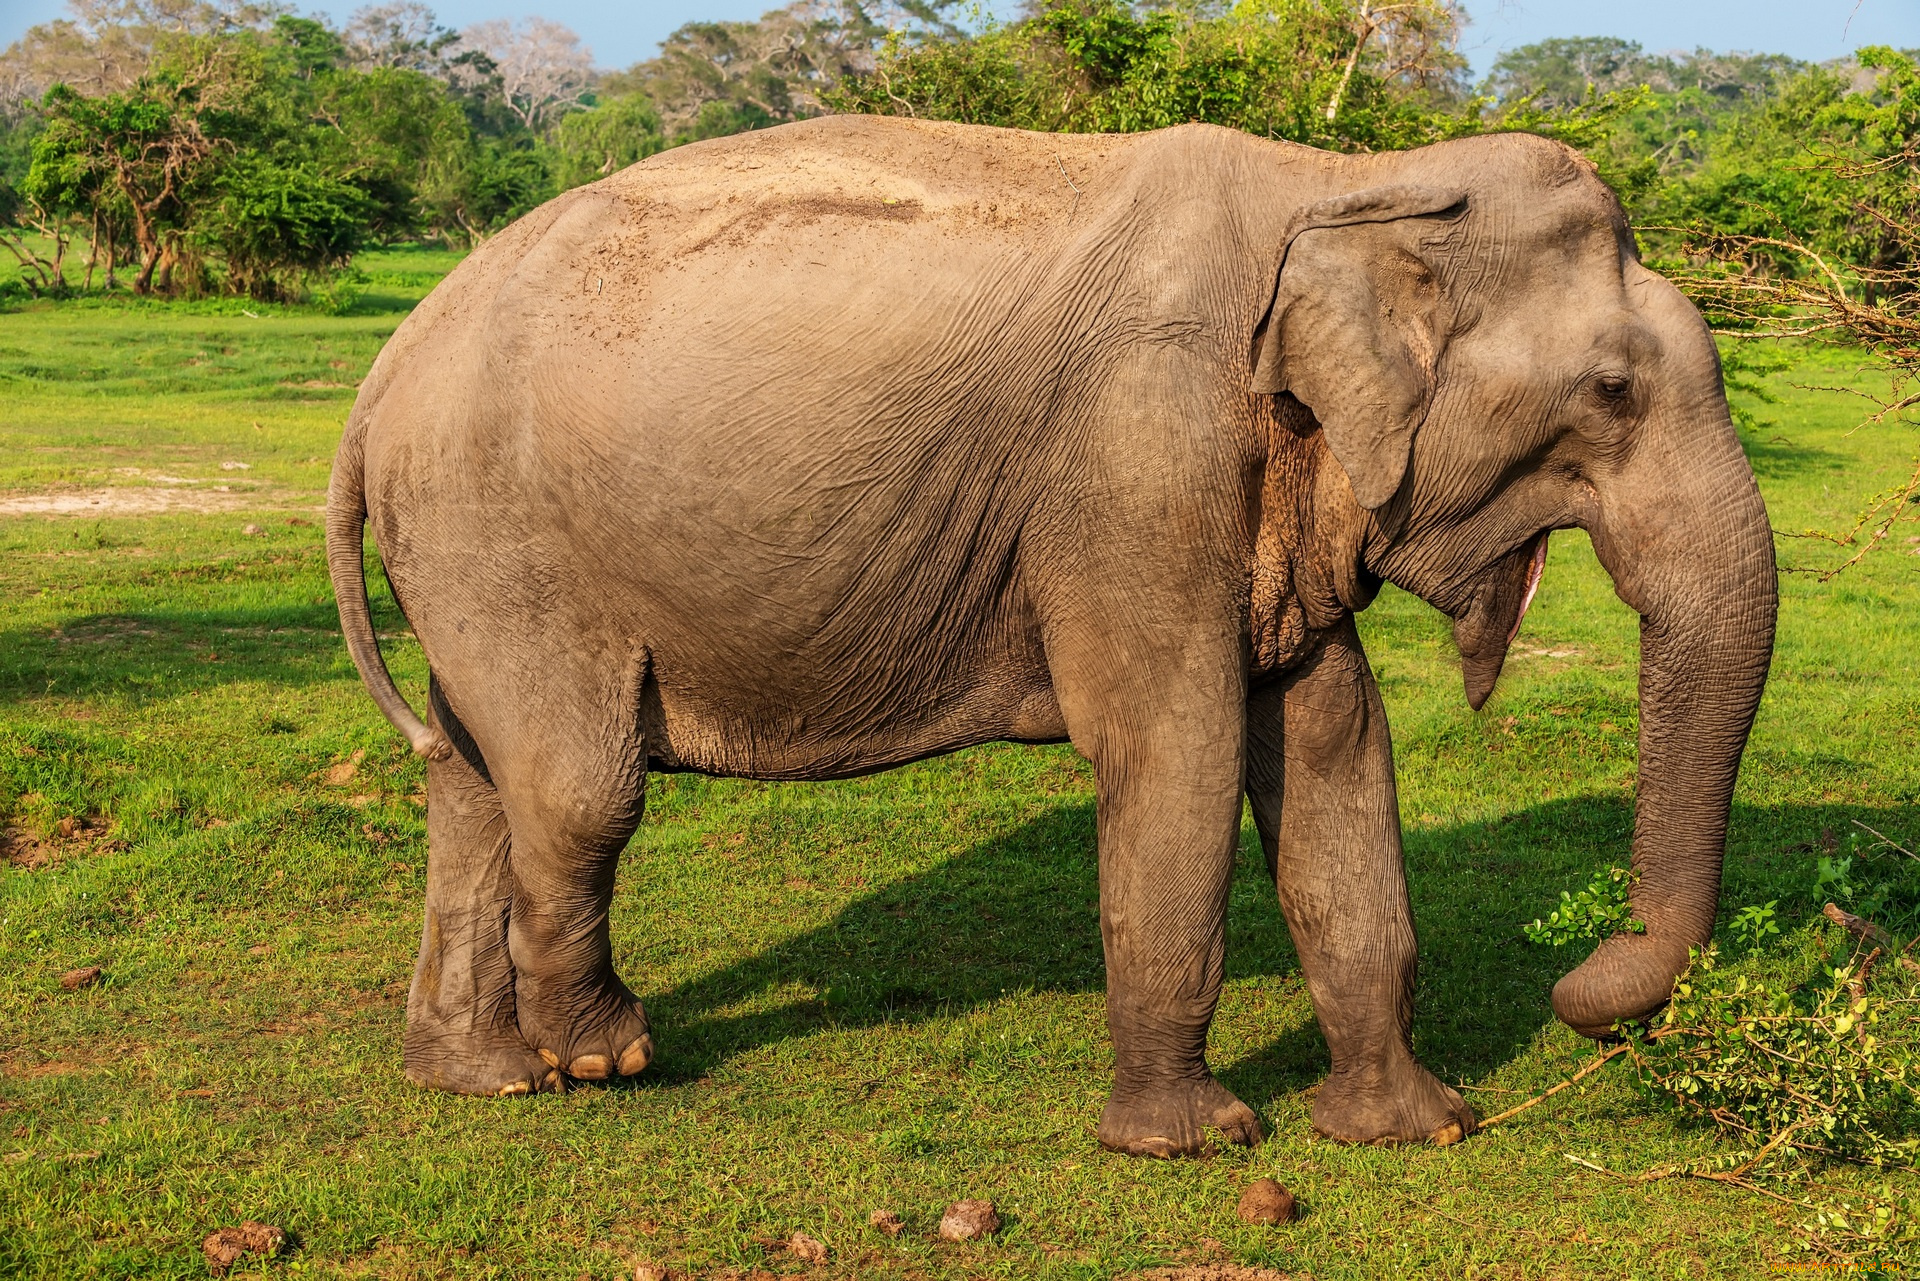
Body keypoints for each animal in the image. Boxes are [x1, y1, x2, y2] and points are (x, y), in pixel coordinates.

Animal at [326, 115, 1766, 1160]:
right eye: (1614, 390)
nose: (1576, 988)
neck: (1354, 184)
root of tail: (384, 370)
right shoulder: (1138, 455)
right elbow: (1175, 750)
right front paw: (1192, 1146)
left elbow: (1333, 742)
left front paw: (1415, 1131)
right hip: (501, 535)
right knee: (579, 791)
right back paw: (603, 1055)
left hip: (462, 551)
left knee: (472, 781)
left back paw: (483, 1083)